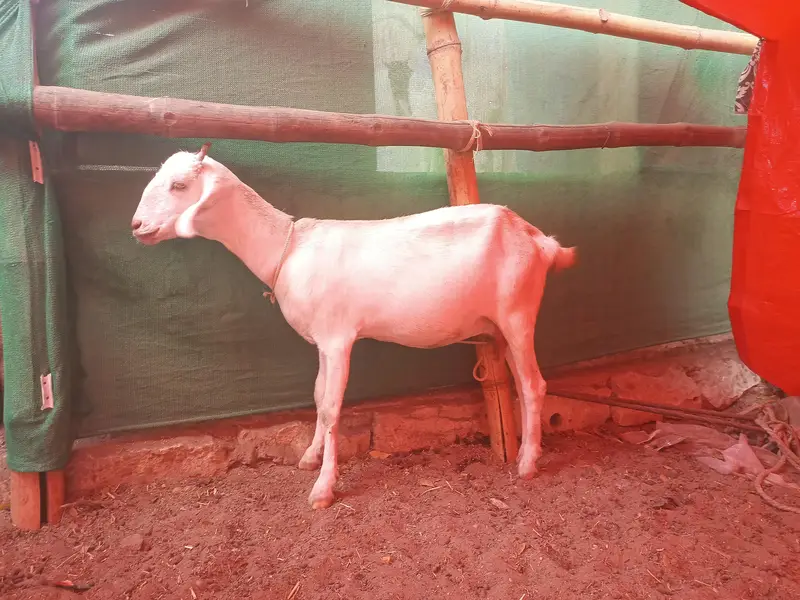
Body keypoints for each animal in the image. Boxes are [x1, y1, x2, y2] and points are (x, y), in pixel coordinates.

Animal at [131, 143, 577, 509]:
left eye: (178, 184)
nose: (136, 226)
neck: (288, 246)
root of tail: (540, 241)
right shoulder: (321, 341)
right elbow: (316, 396)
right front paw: (309, 458)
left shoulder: (338, 338)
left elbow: (331, 408)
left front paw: (323, 489)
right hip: (500, 326)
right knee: (521, 380)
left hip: (518, 315)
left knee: (533, 384)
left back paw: (527, 463)